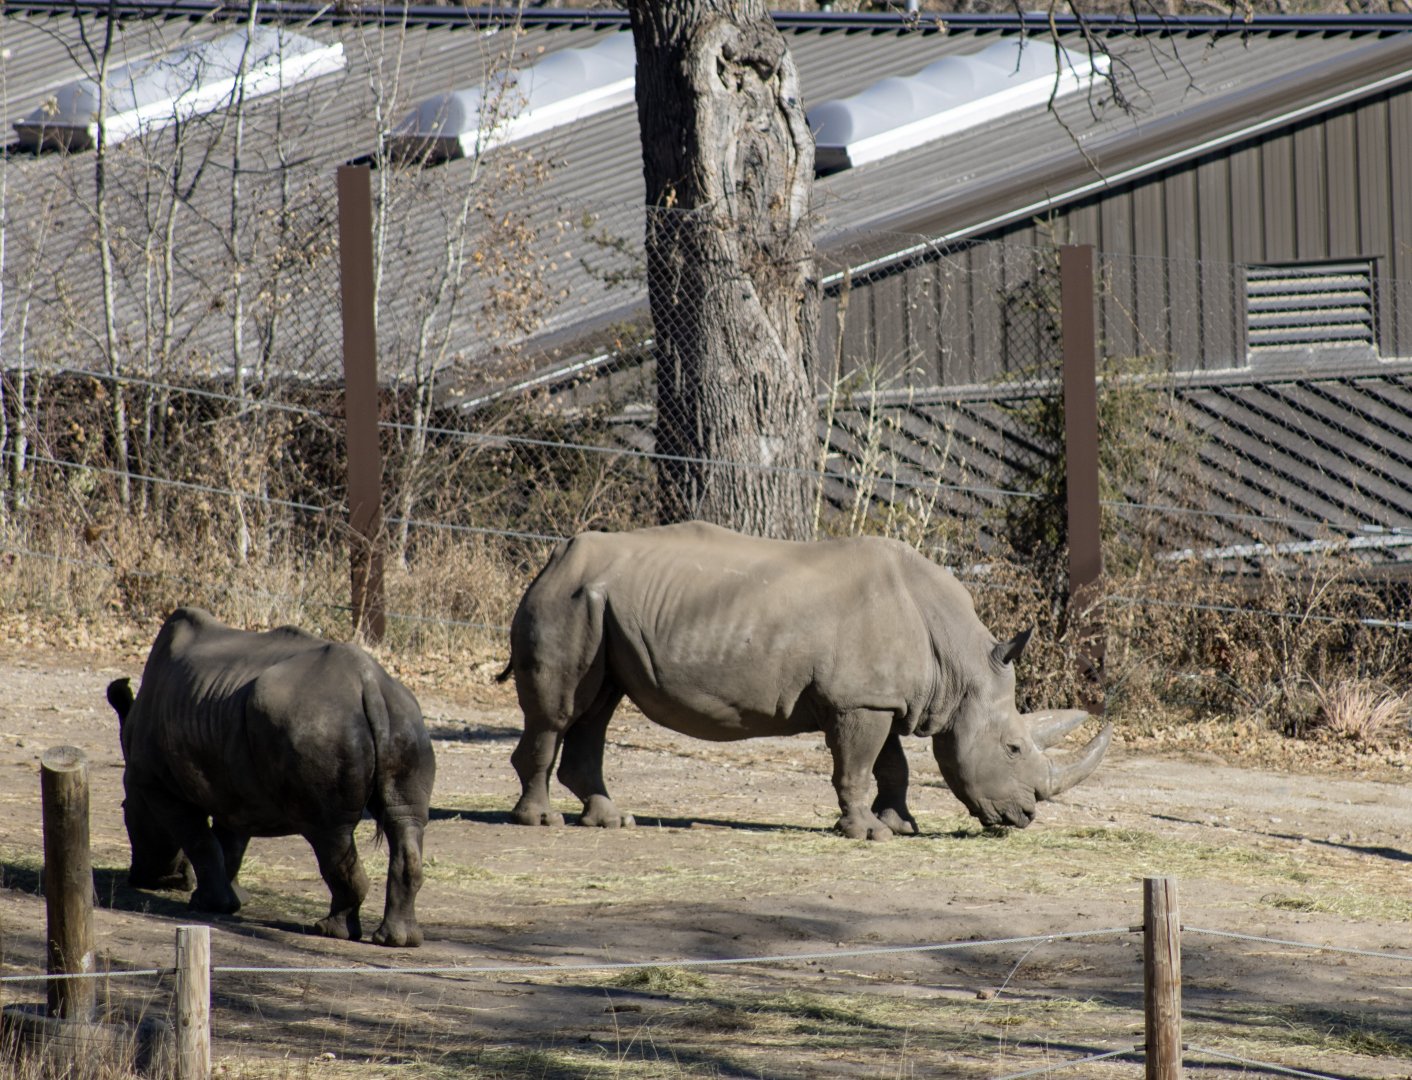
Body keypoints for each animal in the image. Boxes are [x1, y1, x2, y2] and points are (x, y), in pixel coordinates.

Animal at [106, 607, 435, 946]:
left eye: (124, 809)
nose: (144, 878)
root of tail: (369, 685)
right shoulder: (233, 784)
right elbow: (230, 843)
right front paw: (233, 901)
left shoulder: (155, 783)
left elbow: (199, 839)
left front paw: (207, 904)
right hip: (405, 719)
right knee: (404, 819)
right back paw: (399, 939)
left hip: (318, 723)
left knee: (329, 831)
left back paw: (330, 930)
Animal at [499, 522, 1110, 838]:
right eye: (1012, 748)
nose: (1025, 817)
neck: (958, 666)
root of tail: (553, 558)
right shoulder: (858, 701)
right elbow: (858, 767)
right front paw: (867, 833)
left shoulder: (881, 698)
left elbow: (893, 765)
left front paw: (901, 826)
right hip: (571, 601)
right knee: (560, 712)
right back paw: (541, 822)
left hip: (600, 606)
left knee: (597, 707)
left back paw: (610, 820)